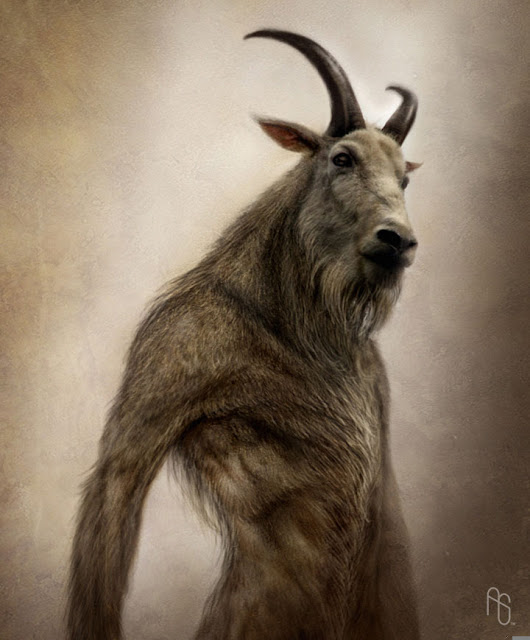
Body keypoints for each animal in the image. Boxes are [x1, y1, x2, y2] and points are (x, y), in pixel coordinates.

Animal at [67, 29, 422, 640]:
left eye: (403, 178)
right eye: (342, 158)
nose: (396, 240)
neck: (303, 322)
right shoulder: (164, 360)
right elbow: (114, 494)